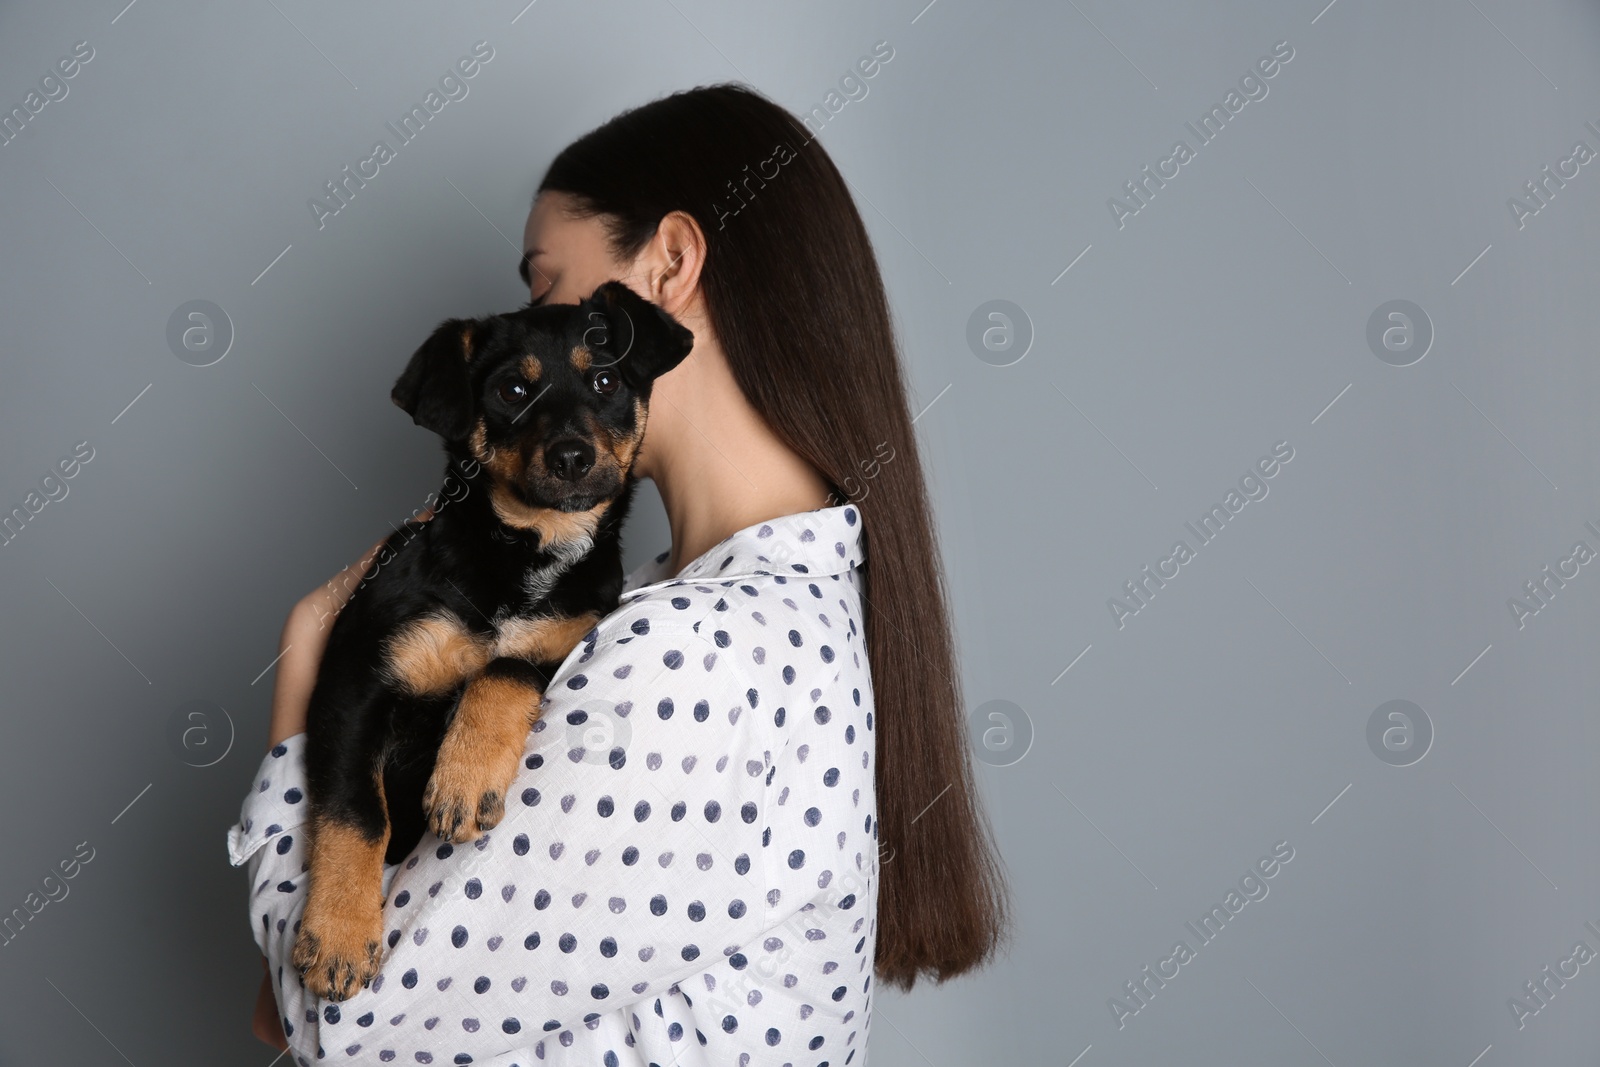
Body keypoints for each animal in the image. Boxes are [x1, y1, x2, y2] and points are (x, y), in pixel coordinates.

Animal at [291, 278, 691, 1004]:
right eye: (512, 391)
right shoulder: (354, 680)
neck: (527, 550)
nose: (572, 457)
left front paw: (465, 776)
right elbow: (356, 810)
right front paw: (337, 936)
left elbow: (503, 670)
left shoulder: (565, 636)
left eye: (607, 380)